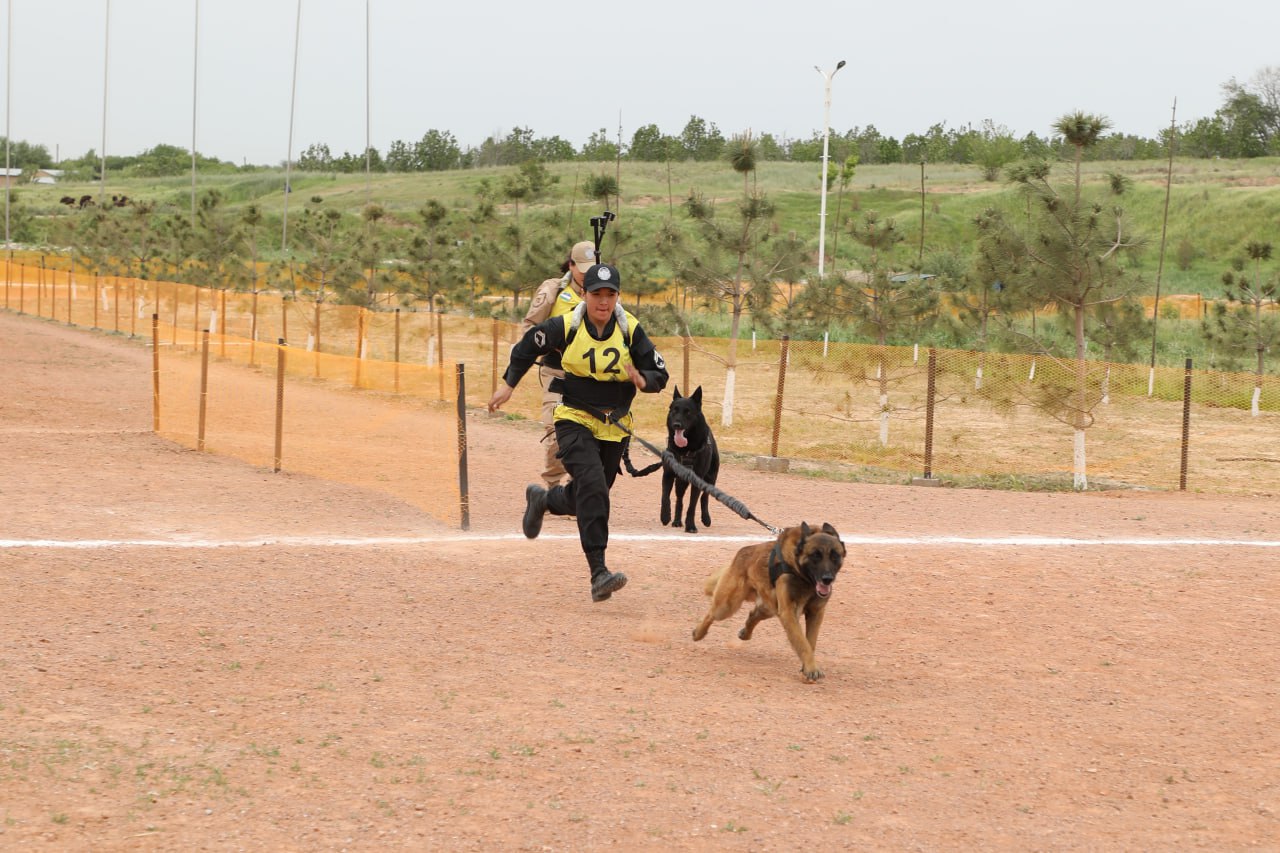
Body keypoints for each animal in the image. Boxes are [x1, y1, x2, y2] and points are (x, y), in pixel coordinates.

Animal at [696, 517, 844, 676]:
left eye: (835, 556)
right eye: (815, 555)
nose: (827, 579)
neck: (803, 577)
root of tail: (740, 554)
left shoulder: (815, 613)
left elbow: (810, 643)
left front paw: (807, 667)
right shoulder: (789, 613)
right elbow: (802, 642)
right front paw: (811, 668)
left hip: (769, 608)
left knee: (753, 615)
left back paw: (745, 633)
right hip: (727, 606)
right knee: (711, 614)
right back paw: (698, 633)